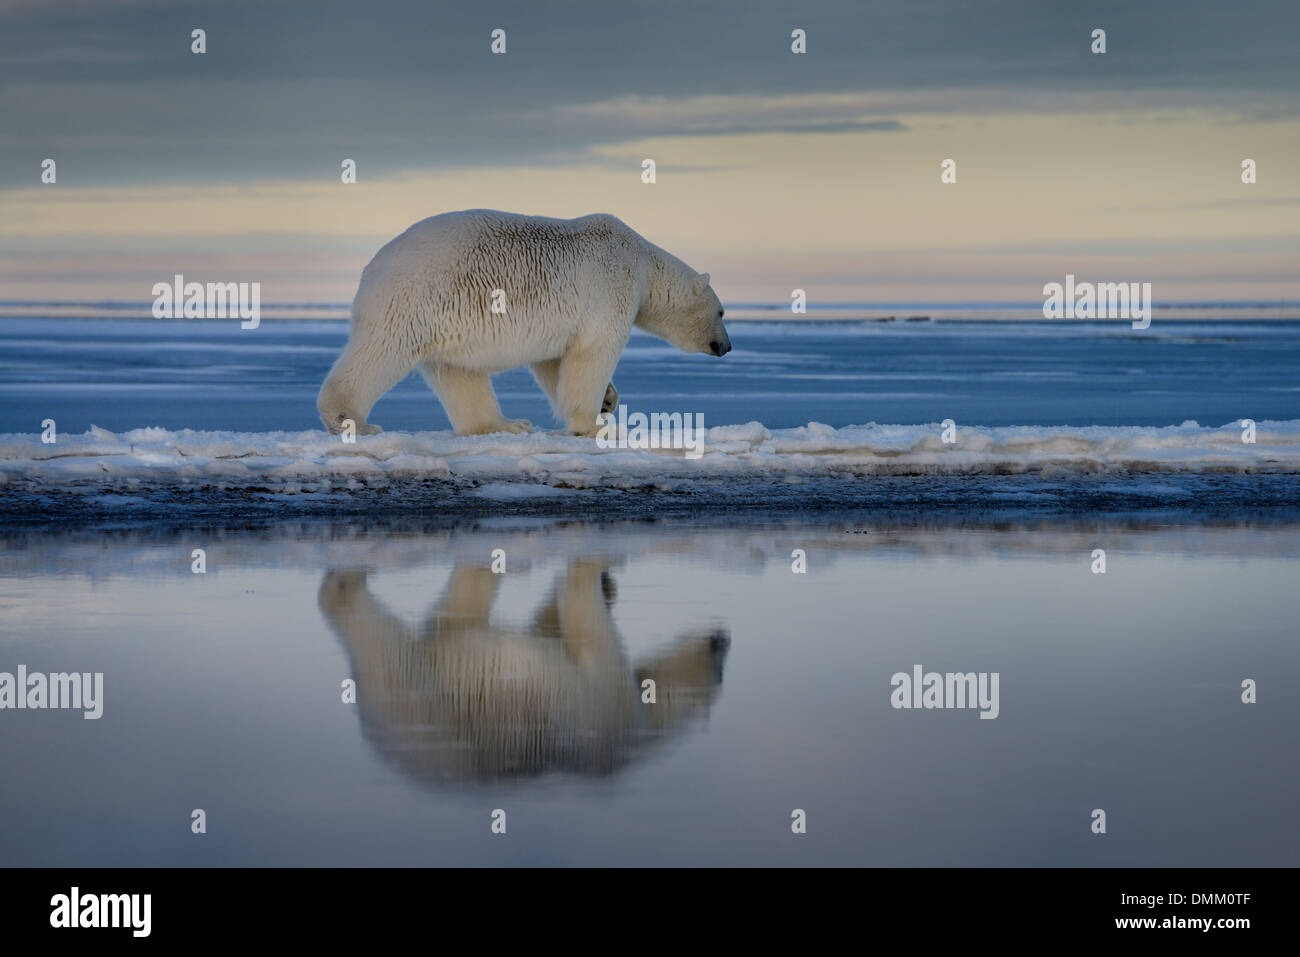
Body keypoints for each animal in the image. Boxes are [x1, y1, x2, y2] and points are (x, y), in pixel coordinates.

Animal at [309, 209, 728, 436]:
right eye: (722, 313)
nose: (727, 345)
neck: (641, 260)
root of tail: (372, 267)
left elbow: (554, 362)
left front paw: (609, 400)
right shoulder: (611, 288)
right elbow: (592, 354)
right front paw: (595, 424)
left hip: (446, 318)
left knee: (458, 373)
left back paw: (507, 424)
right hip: (416, 298)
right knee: (380, 353)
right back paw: (351, 420)